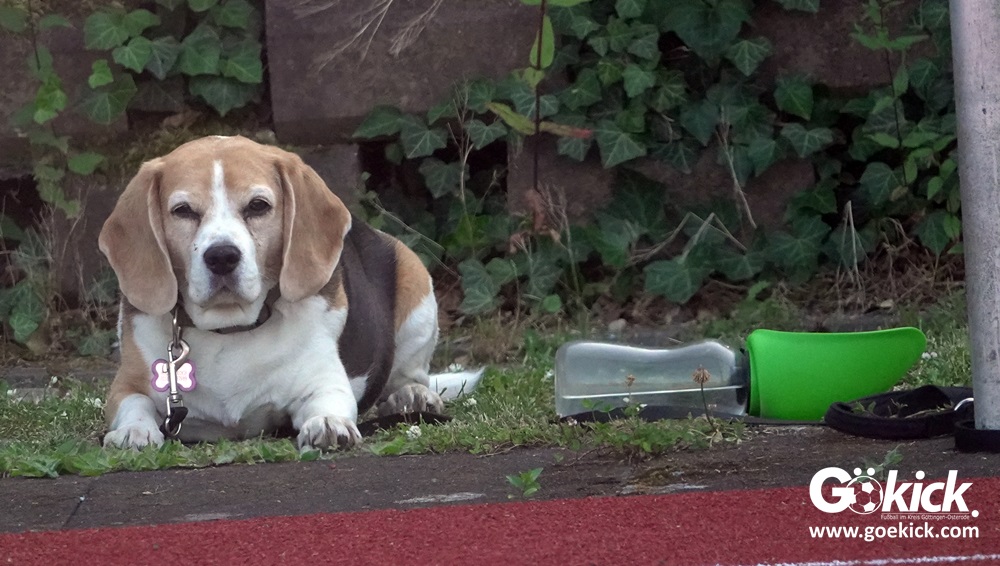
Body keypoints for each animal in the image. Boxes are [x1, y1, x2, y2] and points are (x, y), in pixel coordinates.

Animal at [99, 135, 446, 451]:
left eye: (258, 206)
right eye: (183, 210)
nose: (222, 256)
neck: (230, 328)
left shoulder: (325, 381)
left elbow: (329, 401)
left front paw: (328, 424)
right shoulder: (125, 386)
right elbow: (135, 404)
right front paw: (134, 431)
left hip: (416, 285)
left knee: (410, 375)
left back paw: (412, 395)